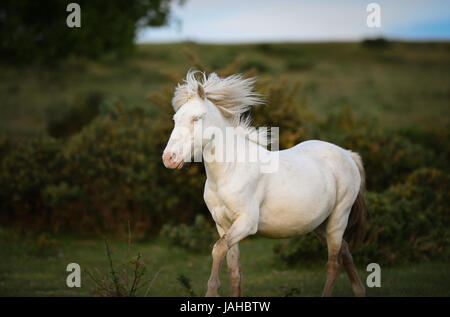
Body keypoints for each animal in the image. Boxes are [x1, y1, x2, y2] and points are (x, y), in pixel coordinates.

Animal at [163, 71, 368, 296]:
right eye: (175, 119)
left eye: (196, 118)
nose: (169, 158)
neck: (229, 171)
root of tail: (347, 154)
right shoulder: (223, 225)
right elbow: (234, 271)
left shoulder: (246, 222)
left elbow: (217, 249)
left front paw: (212, 291)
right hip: (319, 224)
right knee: (345, 250)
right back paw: (359, 291)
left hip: (339, 217)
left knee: (333, 263)